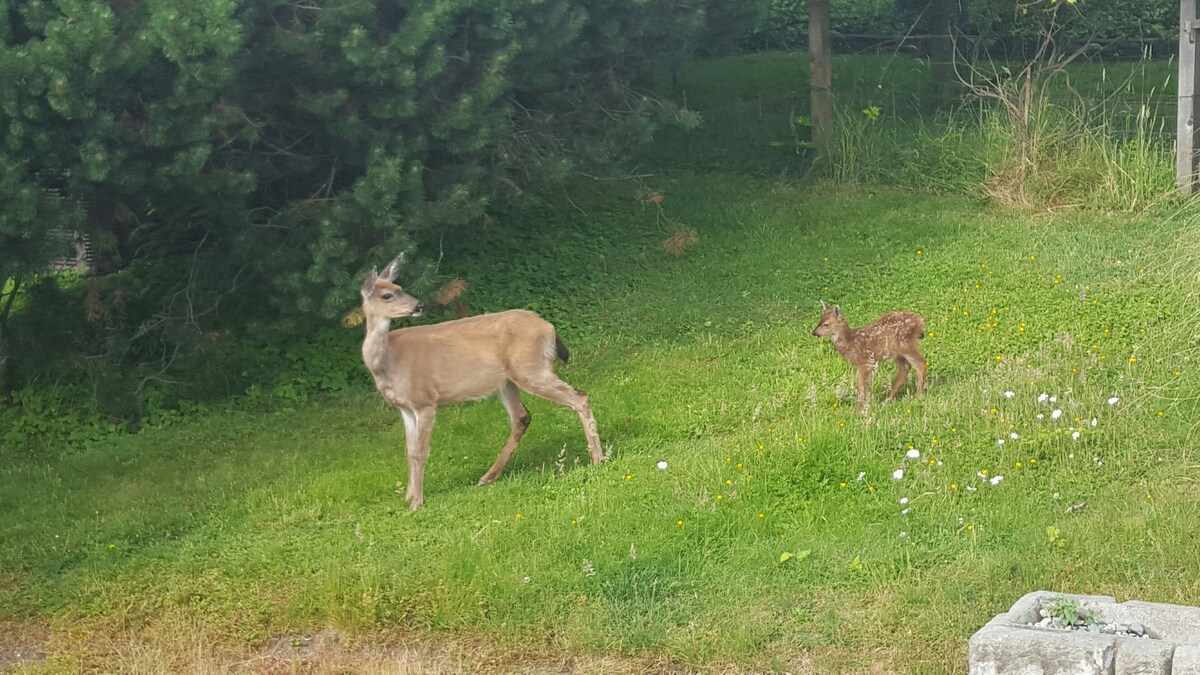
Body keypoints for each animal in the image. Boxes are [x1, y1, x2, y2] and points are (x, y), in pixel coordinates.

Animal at [355, 254, 600, 506]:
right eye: (387, 295)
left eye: (400, 288)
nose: (418, 306)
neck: (389, 362)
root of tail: (549, 327)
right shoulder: (404, 407)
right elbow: (410, 451)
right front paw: (409, 496)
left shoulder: (425, 400)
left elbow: (421, 451)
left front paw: (417, 503)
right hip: (507, 381)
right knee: (521, 416)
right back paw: (488, 476)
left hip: (531, 369)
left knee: (579, 397)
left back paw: (598, 459)